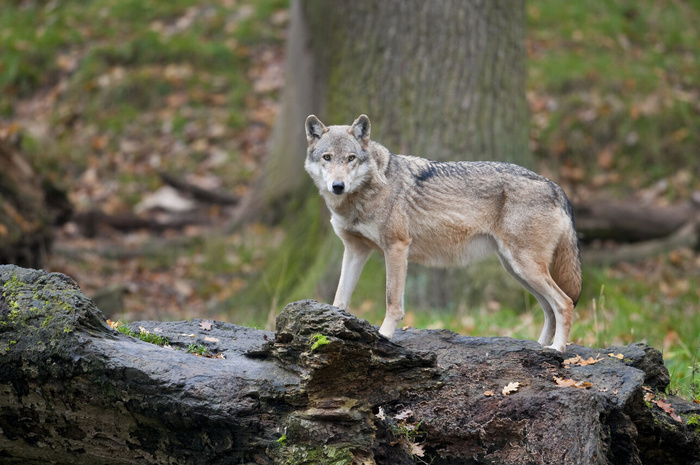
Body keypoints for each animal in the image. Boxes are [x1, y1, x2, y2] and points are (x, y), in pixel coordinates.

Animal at [304, 114, 584, 350]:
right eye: (327, 157)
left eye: (350, 158)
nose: (337, 186)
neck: (366, 192)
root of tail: (556, 187)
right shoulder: (355, 250)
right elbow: (340, 299)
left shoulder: (396, 247)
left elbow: (392, 303)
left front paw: (383, 338)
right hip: (517, 270)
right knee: (549, 309)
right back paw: (540, 348)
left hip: (525, 267)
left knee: (564, 303)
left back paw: (557, 350)